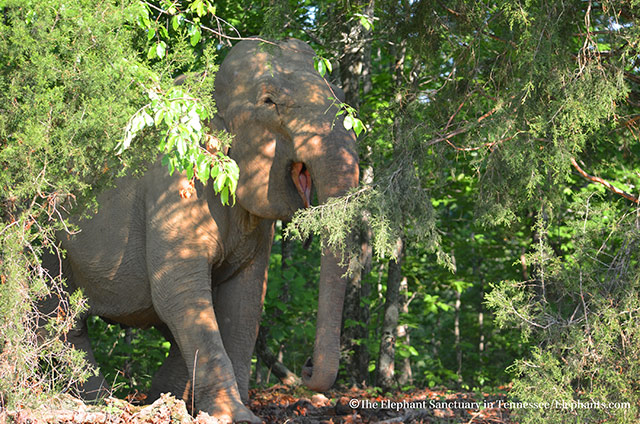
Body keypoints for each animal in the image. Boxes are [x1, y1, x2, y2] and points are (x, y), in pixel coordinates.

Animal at [41, 38, 360, 422]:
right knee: (56, 315)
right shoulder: (174, 174)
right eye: (269, 102)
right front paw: (234, 415)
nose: (308, 368)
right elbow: (178, 290)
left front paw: (192, 402)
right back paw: (100, 402)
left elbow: (244, 299)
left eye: (340, 93)